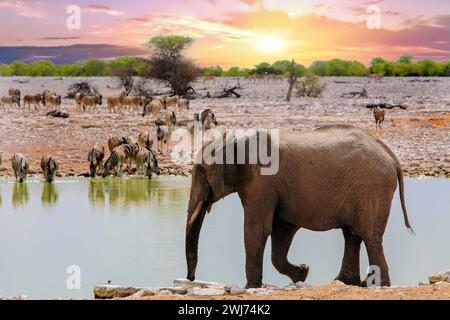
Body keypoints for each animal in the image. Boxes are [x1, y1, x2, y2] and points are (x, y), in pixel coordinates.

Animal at [185, 125, 414, 288]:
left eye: (201, 170)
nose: (190, 278)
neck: (233, 138)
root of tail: (392, 157)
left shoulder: (261, 179)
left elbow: (257, 228)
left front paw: (251, 287)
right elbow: (281, 230)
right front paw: (303, 272)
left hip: (371, 187)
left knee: (369, 236)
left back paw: (376, 285)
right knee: (352, 234)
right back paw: (346, 282)